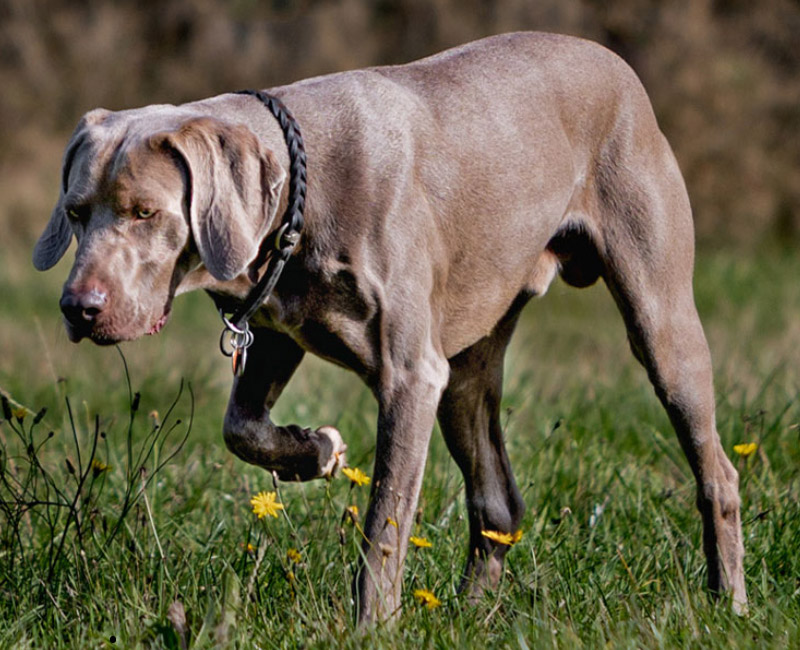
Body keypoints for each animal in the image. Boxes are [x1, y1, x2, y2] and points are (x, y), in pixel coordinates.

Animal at [31, 33, 744, 620]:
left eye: (144, 212)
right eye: (76, 210)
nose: (78, 308)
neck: (304, 198)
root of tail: (616, 62)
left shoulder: (410, 374)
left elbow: (385, 520)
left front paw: (373, 624)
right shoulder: (279, 325)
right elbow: (241, 426)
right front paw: (314, 450)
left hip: (659, 318)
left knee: (717, 471)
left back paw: (728, 603)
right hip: (469, 365)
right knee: (497, 501)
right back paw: (467, 617)